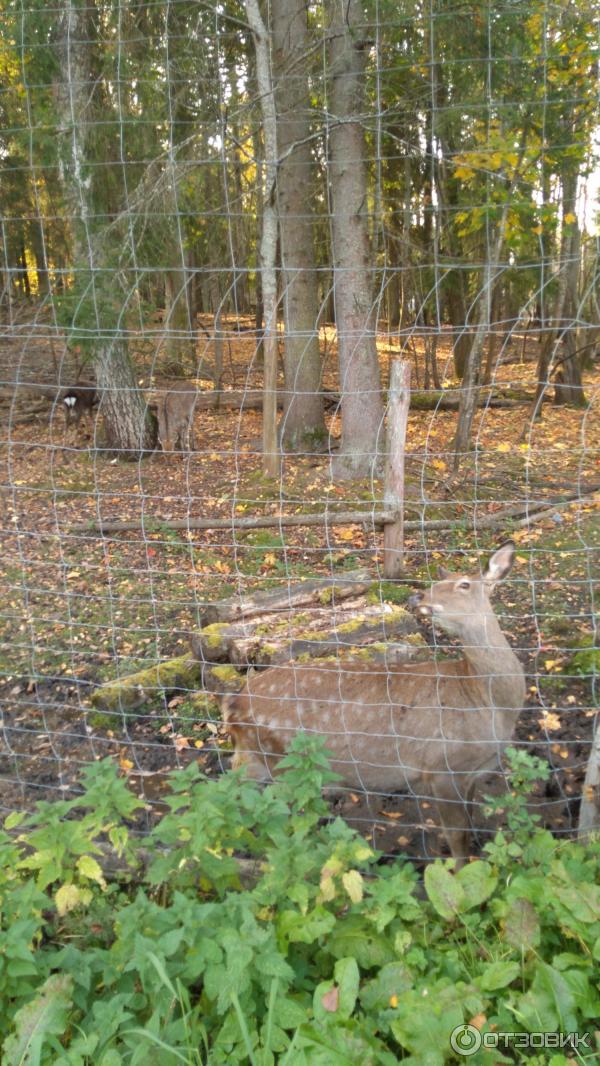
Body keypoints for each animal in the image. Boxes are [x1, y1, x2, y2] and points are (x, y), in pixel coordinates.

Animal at [223, 541, 526, 865]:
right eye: (438, 582)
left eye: (464, 584)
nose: (418, 596)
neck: (487, 702)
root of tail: (233, 705)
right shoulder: (442, 768)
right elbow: (458, 836)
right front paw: (457, 870)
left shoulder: (470, 776)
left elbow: (469, 823)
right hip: (285, 762)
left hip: (256, 758)